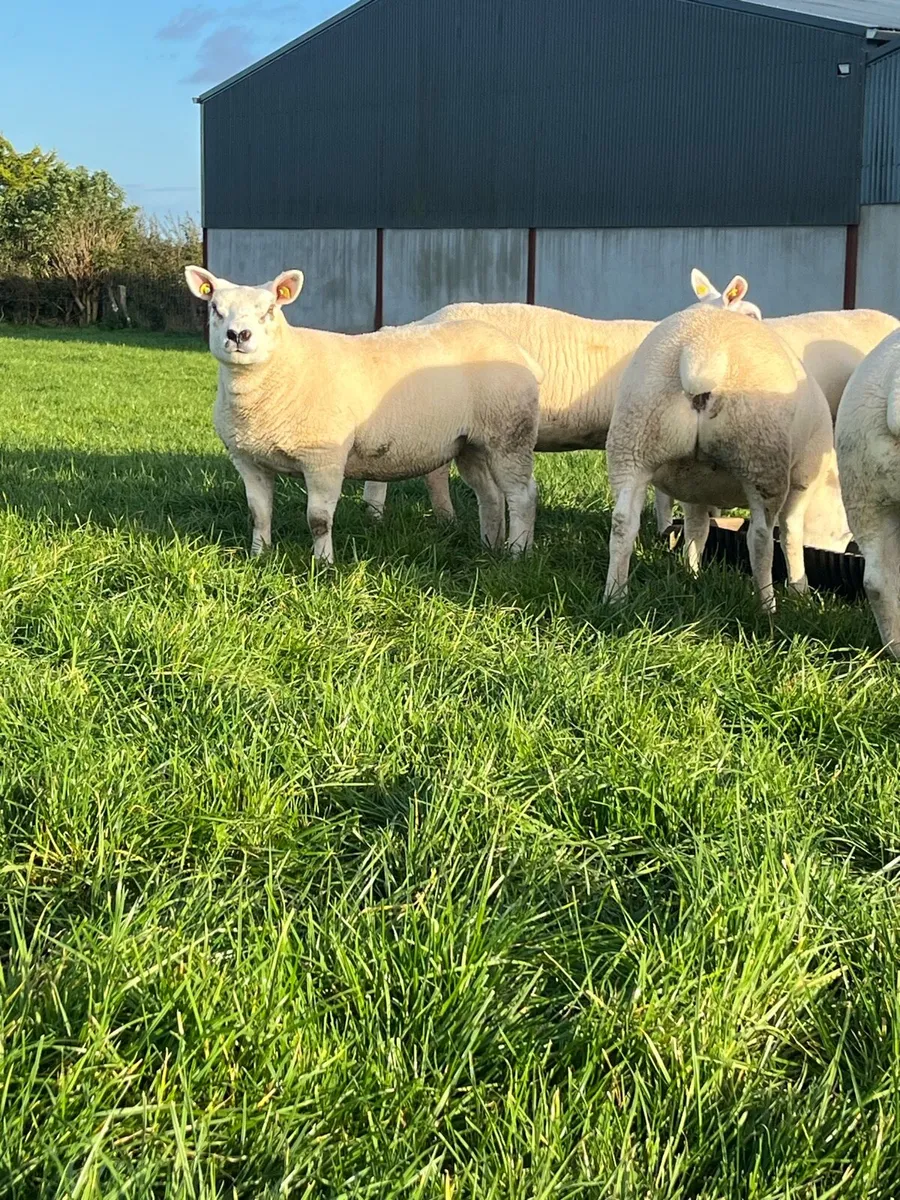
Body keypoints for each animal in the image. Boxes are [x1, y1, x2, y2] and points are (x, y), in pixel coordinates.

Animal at [184, 266, 542, 563]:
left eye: (270, 310)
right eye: (215, 308)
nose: (238, 336)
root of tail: (517, 350)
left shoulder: (323, 458)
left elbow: (318, 520)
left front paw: (323, 565)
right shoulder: (248, 459)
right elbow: (258, 514)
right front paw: (259, 556)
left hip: (511, 434)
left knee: (522, 495)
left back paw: (516, 553)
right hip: (471, 443)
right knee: (491, 495)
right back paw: (489, 546)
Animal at [604, 303, 842, 613]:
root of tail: (701, 352)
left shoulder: (693, 487)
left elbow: (697, 529)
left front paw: (691, 573)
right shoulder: (803, 478)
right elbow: (791, 534)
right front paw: (799, 590)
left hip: (633, 440)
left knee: (623, 523)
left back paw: (614, 597)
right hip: (762, 458)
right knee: (760, 538)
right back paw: (767, 606)